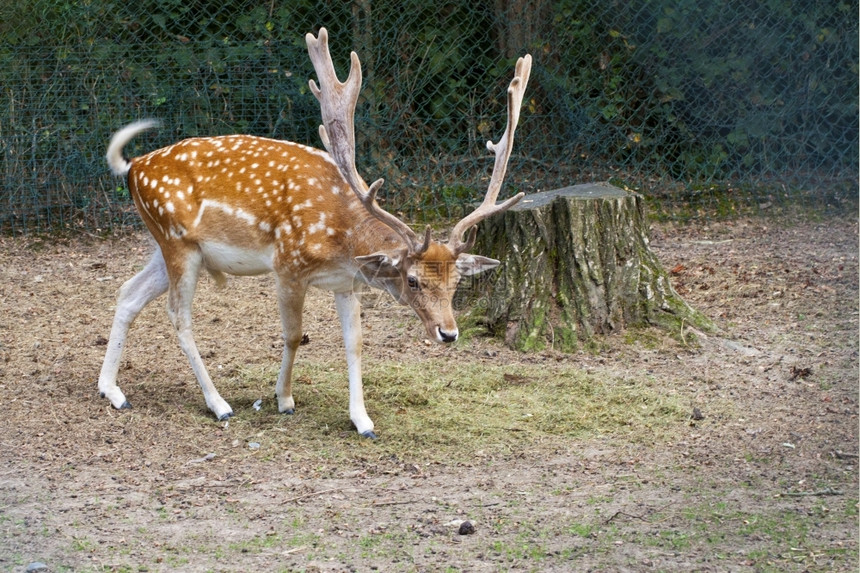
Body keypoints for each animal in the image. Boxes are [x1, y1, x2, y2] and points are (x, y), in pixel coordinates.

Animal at [99, 27, 532, 438]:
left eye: (456, 280)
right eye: (412, 280)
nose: (449, 333)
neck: (342, 239)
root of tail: (133, 167)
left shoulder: (346, 282)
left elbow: (355, 344)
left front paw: (363, 420)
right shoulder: (287, 266)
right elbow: (293, 335)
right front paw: (284, 399)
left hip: (165, 244)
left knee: (128, 293)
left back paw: (112, 391)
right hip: (178, 243)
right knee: (178, 315)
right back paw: (218, 404)